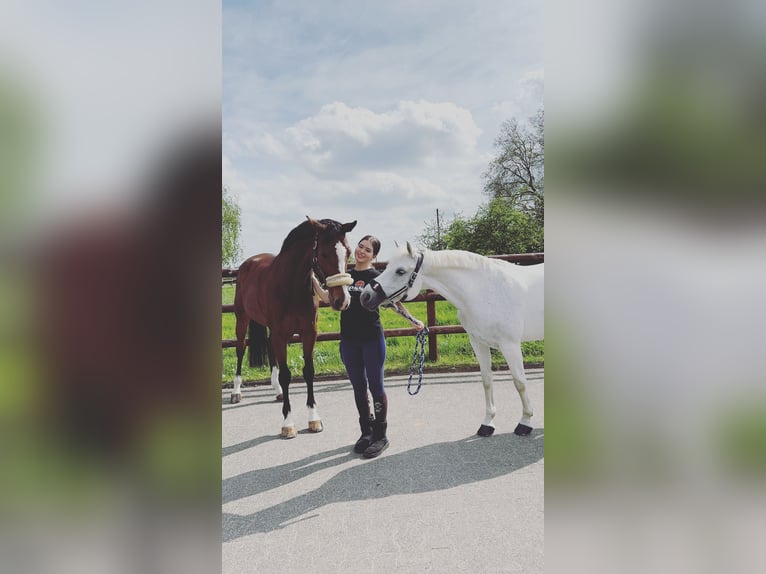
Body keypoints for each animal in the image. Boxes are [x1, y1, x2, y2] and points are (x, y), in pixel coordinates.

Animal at [231, 218, 356, 438]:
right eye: (324, 253)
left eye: (348, 252)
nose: (342, 300)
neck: (291, 287)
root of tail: (249, 263)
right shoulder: (281, 336)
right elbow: (286, 375)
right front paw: (287, 424)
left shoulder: (309, 333)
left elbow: (309, 371)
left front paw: (314, 419)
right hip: (242, 318)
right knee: (240, 349)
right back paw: (236, 392)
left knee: (269, 348)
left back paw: (278, 391)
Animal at [362, 242, 544, 436]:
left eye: (400, 271)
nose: (365, 296)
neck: (486, 291)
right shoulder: (478, 343)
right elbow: (487, 381)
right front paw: (487, 423)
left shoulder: (510, 345)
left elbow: (520, 383)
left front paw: (525, 422)